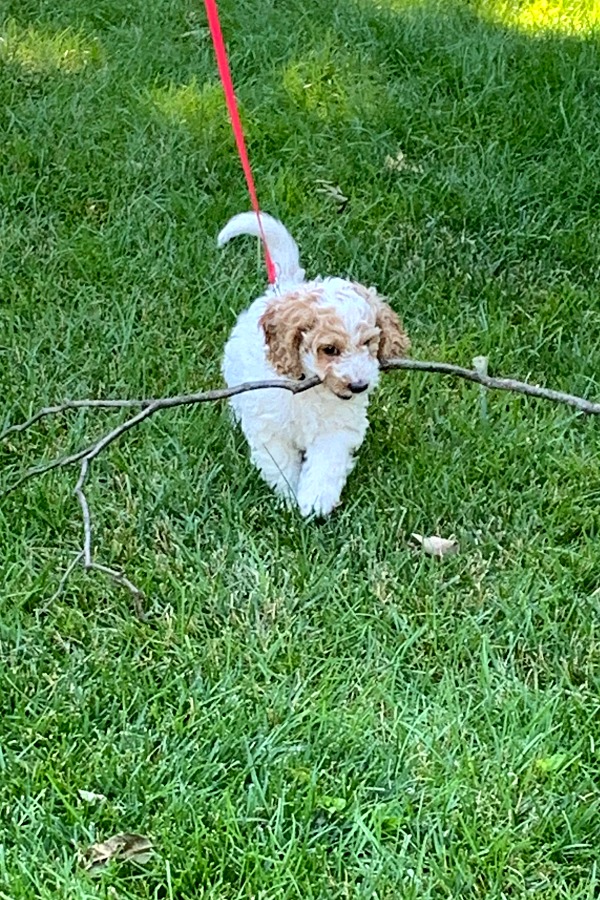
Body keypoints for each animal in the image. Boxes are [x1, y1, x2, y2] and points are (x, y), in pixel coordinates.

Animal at [218, 214, 410, 516]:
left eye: (368, 343)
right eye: (329, 350)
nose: (359, 386)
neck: (310, 389)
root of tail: (285, 284)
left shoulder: (338, 429)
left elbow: (326, 463)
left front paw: (315, 501)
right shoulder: (271, 428)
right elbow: (280, 462)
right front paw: (288, 495)